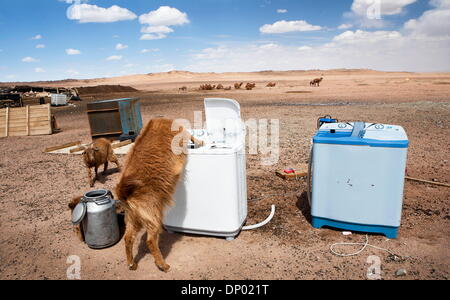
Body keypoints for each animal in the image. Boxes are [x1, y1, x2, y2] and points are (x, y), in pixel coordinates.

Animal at [116, 119, 202, 272]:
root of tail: (123, 191)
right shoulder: (182, 133)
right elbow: (190, 136)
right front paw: (200, 141)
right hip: (153, 214)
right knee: (150, 240)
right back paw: (162, 264)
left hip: (133, 218)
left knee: (128, 238)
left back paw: (131, 263)